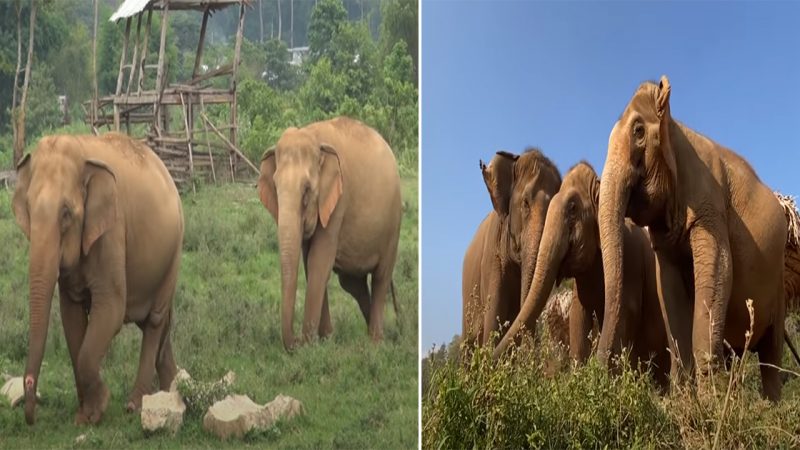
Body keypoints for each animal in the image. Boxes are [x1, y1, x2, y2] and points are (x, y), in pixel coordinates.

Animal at [13, 132, 183, 424]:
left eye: (66, 213)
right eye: (30, 210)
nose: (31, 415)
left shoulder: (112, 231)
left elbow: (110, 308)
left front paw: (97, 409)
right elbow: (71, 317)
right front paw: (84, 414)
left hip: (174, 251)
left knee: (154, 321)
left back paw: (135, 405)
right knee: (157, 323)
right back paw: (171, 391)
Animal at [260, 117, 404, 352]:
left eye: (307, 191)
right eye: (275, 186)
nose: (296, 341)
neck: (313, 136)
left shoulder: (339, 202)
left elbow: (319, 261)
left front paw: (311, 343)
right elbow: (310, 262)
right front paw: (326, 339)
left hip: (393, 225)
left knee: (381, 277)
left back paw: (375, 342)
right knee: (353, 284)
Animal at [600, 74, 788, 400]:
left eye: (638, 131)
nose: (592, 373)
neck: (675, 128)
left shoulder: (710, 206)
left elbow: (719, 270)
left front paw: (708, 402)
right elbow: (668, 288)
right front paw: (683, 401)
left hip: (779, 286)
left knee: (771, 356)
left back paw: (770, 405)